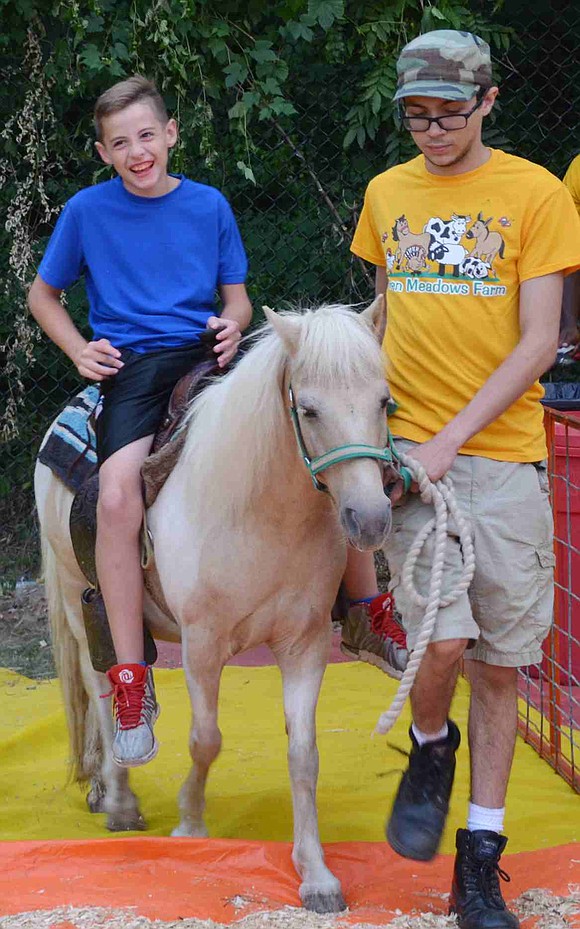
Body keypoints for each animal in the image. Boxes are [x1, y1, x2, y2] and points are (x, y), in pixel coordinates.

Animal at [35, 300, 394, 912]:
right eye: (310, 409)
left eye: (384, 402)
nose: (369, 519)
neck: (258, 510)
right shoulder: (203, 645)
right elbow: (206, 740)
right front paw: (191, 829)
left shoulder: (303, 646)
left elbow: (305, 756)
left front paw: (316, 873)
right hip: (76, 596)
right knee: (100, 685)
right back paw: (120, 801)